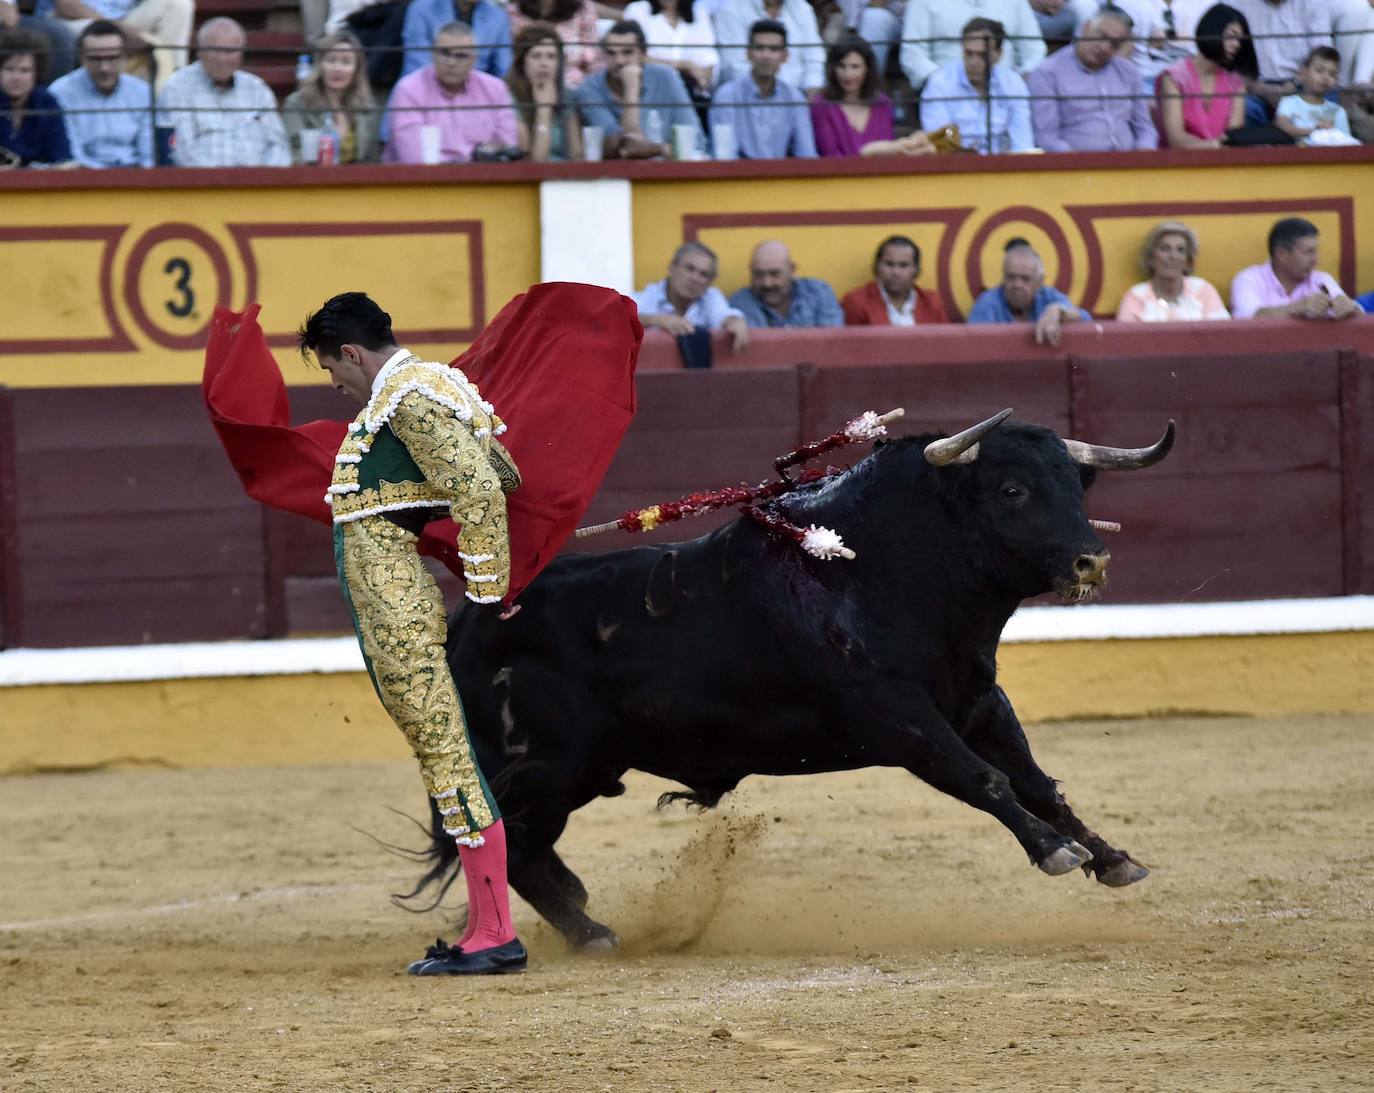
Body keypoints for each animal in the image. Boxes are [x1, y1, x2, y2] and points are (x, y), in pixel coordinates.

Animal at [412, 409, 1176, 951]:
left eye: (1076, 486)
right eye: (1013, 489)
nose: (1091, 560)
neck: (883, 570)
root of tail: (468, 619)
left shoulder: (979, 703)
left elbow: (1038, 784)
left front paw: (1112, 857)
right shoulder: (897, 718)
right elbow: (984, 781)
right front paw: (1054, 851)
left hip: (582, 767)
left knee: (527, 846)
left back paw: (582, 911)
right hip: (547, 764)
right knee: (514, 844)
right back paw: (591, 933)